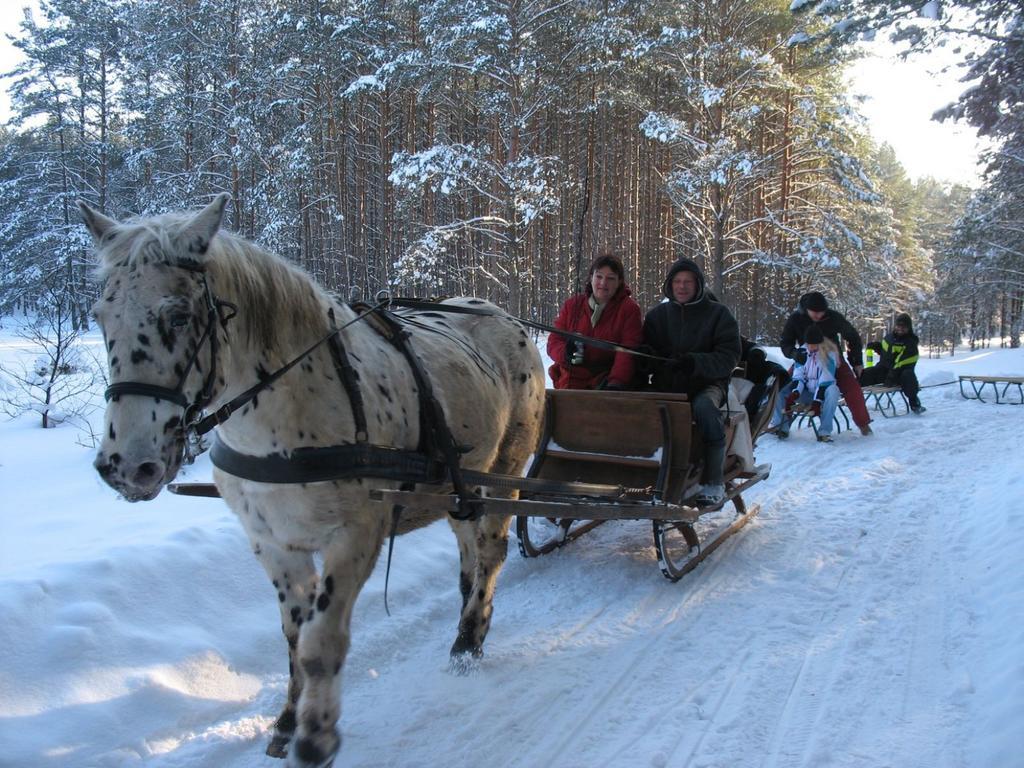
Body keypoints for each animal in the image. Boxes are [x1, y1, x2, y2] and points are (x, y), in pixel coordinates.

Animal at [81, 195, 544, 765]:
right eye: (100, 317)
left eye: (179, 315)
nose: (128, 464)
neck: (285, 411)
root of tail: (501, 314)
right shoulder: (273, 542)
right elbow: (294, 638)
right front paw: (286, 721)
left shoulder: (356, 536)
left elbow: (323, 643)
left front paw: (316, 736)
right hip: (456, 485)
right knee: (469, 552)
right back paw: (465, 628)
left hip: (504, 470)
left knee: (491, 552)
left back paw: (469, 639)